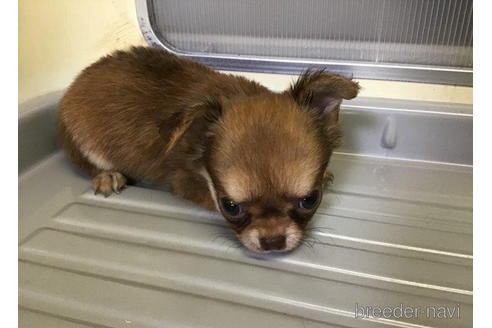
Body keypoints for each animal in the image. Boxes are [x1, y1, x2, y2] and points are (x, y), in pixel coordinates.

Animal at [58, 46, 358, 252]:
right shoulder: (183, 181)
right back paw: (107, 175)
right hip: (81, 140)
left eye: (310, 199)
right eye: (230, 207)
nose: (272, 240)